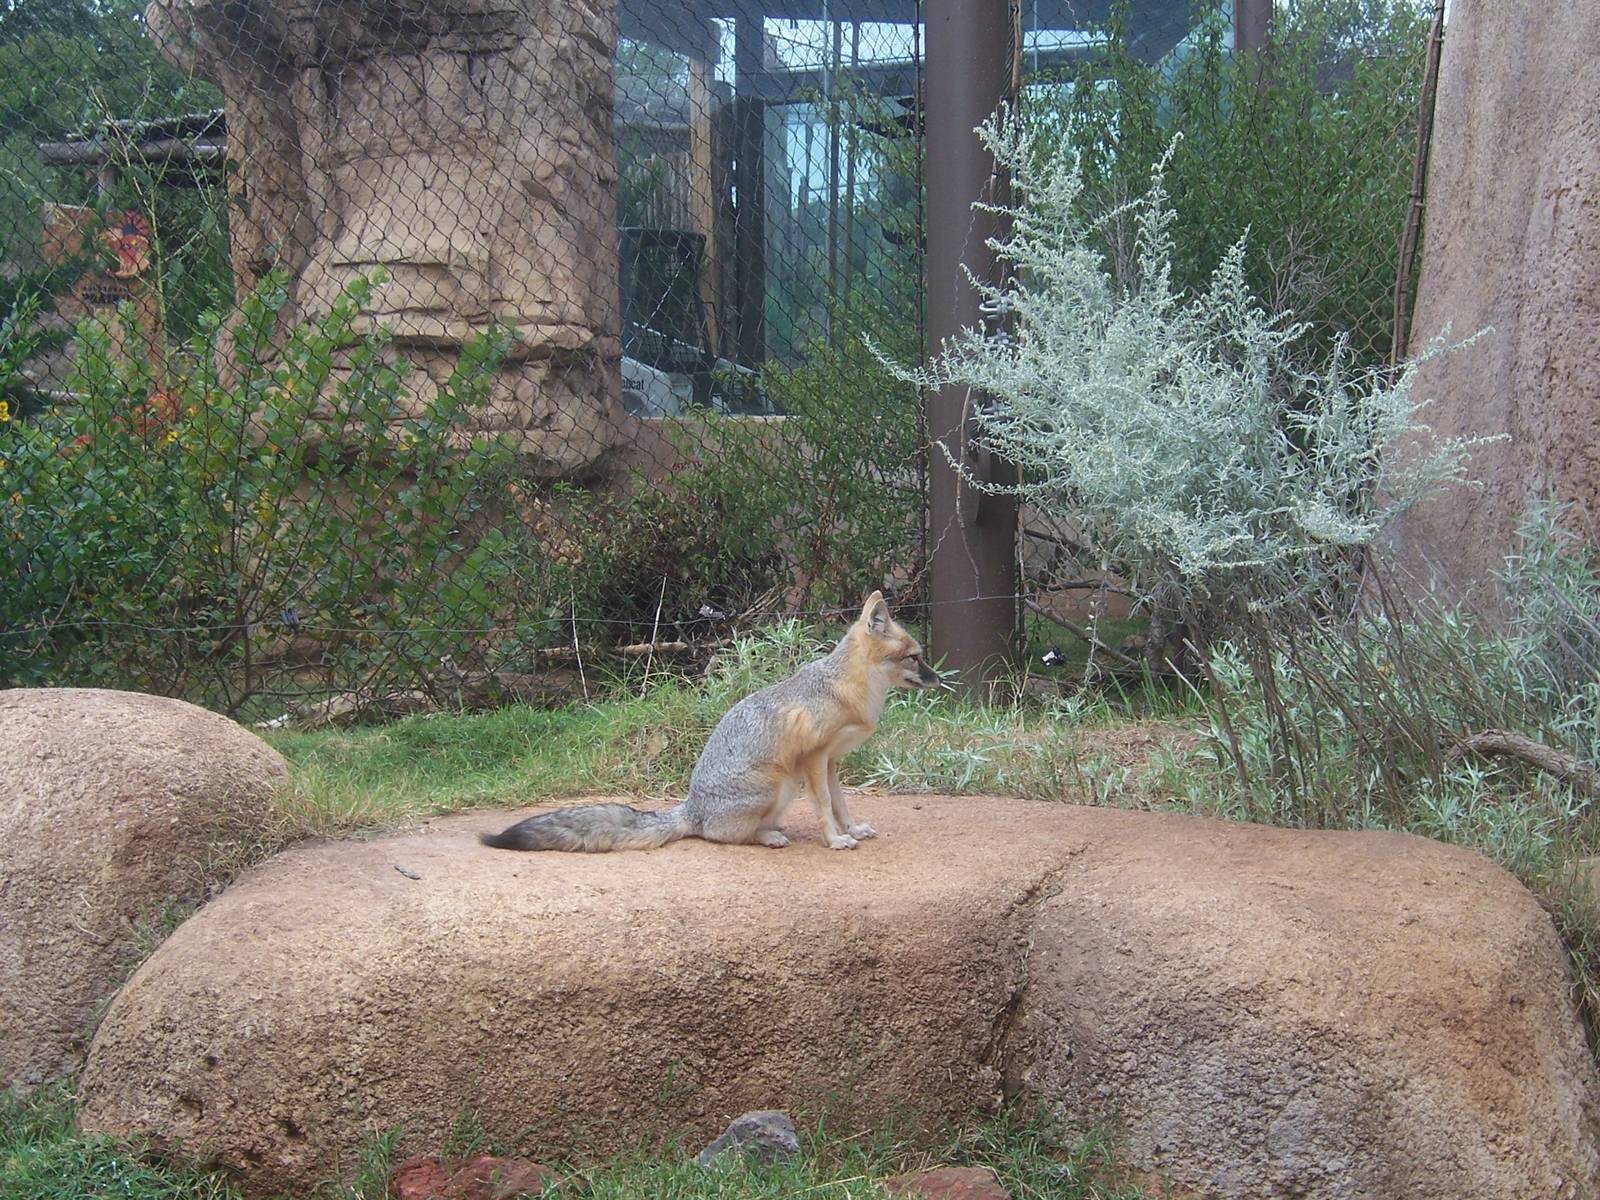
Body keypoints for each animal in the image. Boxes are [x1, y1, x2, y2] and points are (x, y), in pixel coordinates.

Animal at [480, 591, 940, 853]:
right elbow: (825, 807)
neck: (848, 689)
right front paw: (834, 841)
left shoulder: (830, 762)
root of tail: (692, 809)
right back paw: (766, 836)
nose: (940, 680)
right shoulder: (813, 759)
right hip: (778, 783)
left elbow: (841, 804)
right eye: (915, 657)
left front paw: (853, 829)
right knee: (721, 835)